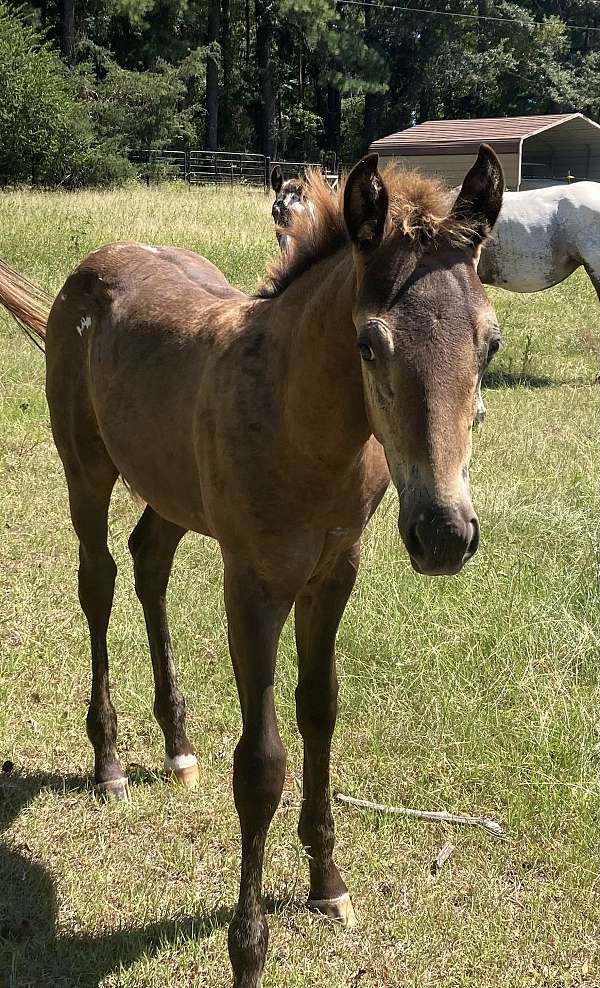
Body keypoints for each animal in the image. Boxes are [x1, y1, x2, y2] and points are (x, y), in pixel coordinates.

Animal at [0, 147, 504, 988]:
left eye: (489, 344)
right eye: (370, 344)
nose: (443, 533)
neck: (306, 431)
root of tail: (96, 262)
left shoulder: (334, 575)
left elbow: (320, 712)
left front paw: (328, 884)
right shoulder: (255, 584)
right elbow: (262, 763)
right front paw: (249, 948)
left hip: (170, 487)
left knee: (149, 561)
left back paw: (176, 746)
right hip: (86, 469)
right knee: (99, 582)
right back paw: (109, 762)